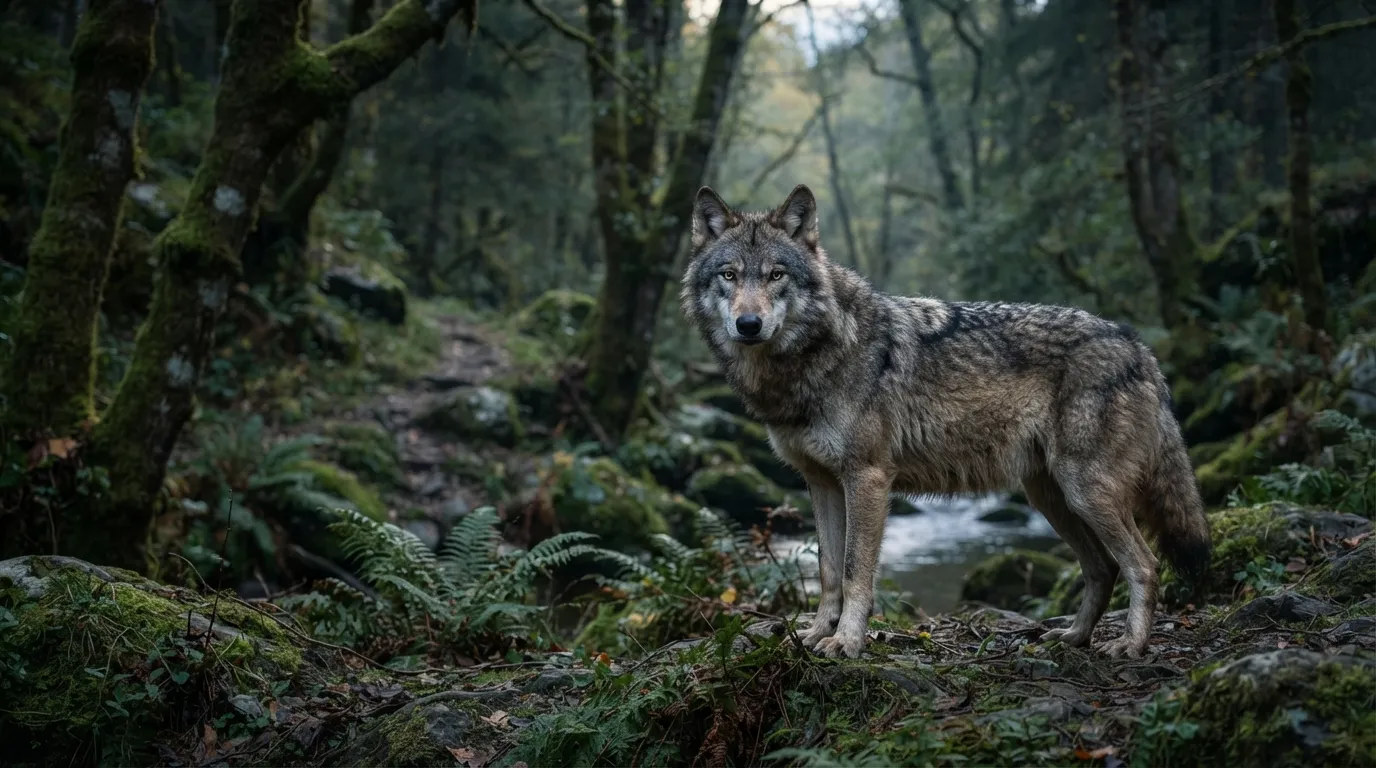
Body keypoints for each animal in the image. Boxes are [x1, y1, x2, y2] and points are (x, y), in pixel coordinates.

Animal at [680, 184, 1212, 659]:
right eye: (729, 275)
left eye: (776, 275)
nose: (748, 325)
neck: (815, 355)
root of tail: (1139, 347)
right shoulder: (822, 483)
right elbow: (828, 571)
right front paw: (814, 634)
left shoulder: (867, 478)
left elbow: (855, 571)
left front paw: (847, 642)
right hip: (1051, 498)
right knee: (1103, 569)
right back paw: (1074, 637)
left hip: (1084, 491)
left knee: (1144, 565)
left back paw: (1131, 645)